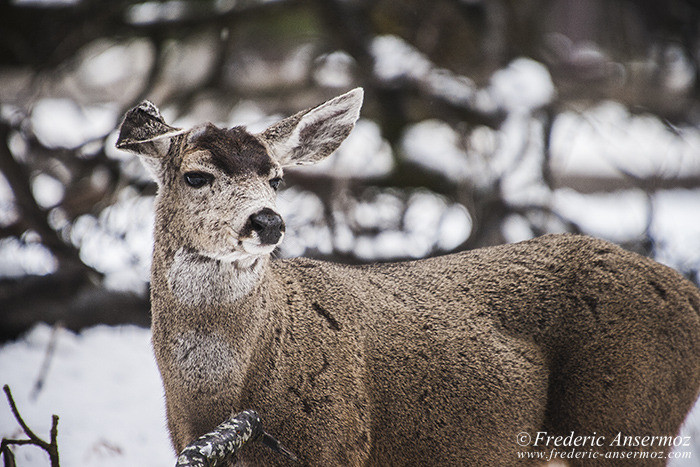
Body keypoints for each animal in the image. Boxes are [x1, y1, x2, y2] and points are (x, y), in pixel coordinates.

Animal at [115, 88, 700, 467]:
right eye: (196, 175)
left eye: (276, 179)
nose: (268, 221)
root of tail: (686, 291)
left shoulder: (339, 443)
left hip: (626, 416)